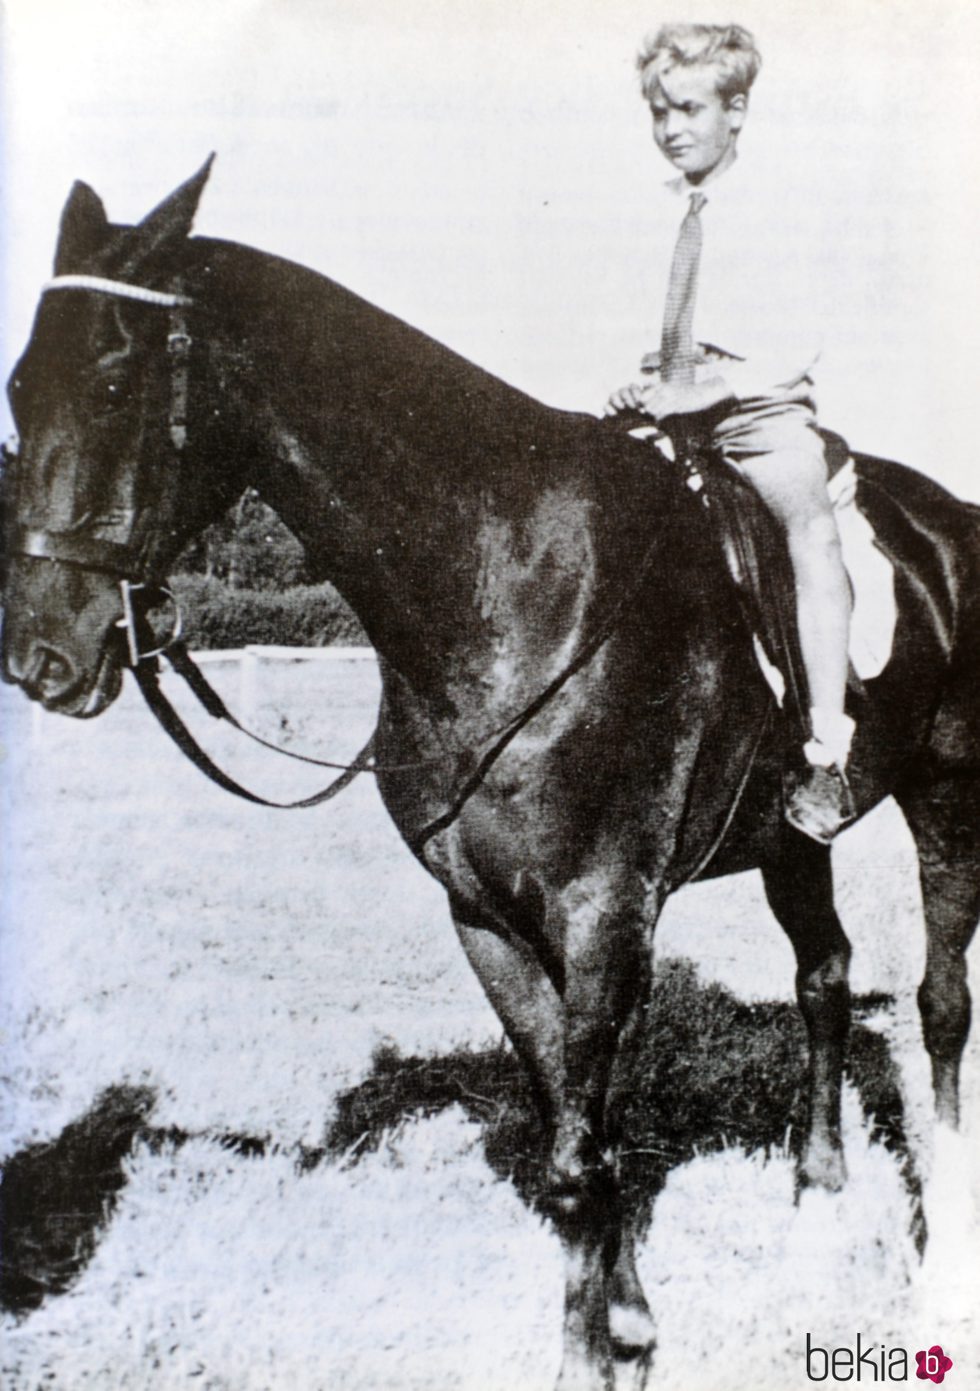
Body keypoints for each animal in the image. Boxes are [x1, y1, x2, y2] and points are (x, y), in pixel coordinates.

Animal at [5, 159, 978, 1379]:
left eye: (110, 381)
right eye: (16, 389)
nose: (39, 655)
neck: (509, 576)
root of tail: (948, 524)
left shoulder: (603, 913)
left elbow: (580, 1149)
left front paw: (594, 1350)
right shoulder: (483, 916)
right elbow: (573, 1134)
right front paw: (625, 1321)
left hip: (947, 799)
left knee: (940, 1005)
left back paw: (942, 1257)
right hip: (790, 837)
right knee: (825, 980)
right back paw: (815, 1198)